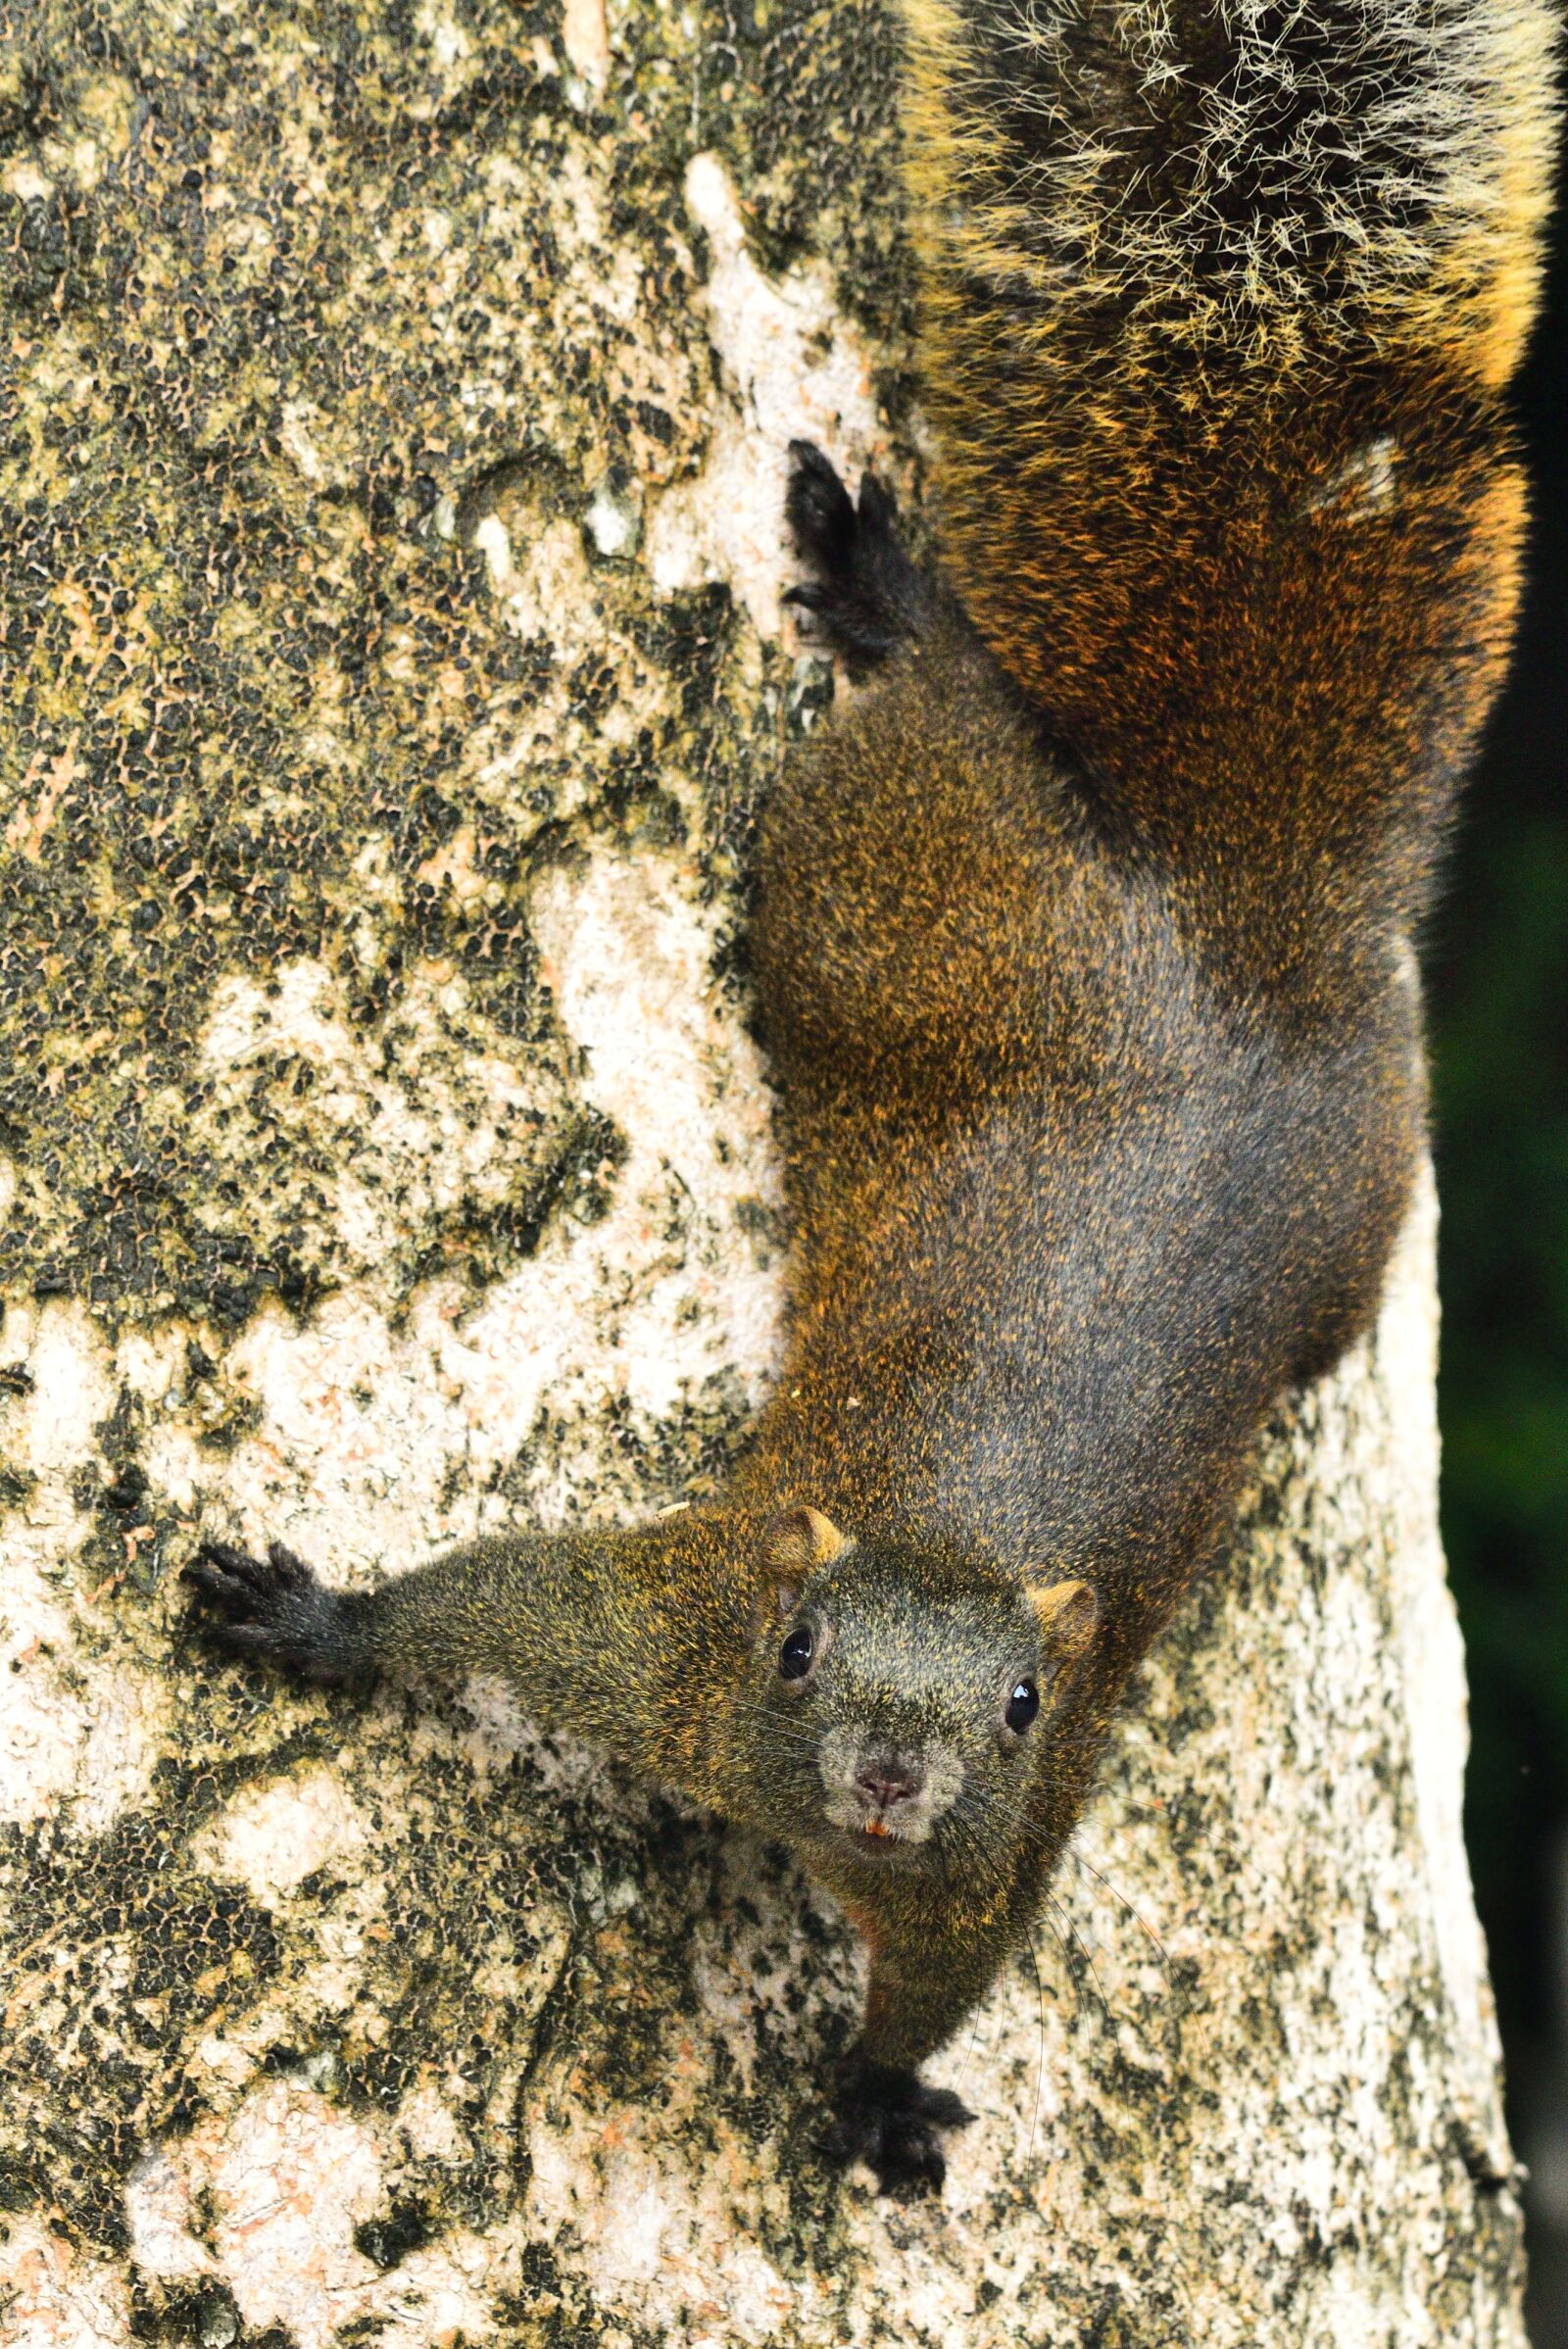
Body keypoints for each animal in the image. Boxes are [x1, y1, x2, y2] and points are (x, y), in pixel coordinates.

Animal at [183, 0, 1557, 2193]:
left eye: (1014, 1712)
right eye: (805, 1652)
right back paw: (897, 598)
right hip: (869, 882)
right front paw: (316, 1617)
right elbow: (485, 1599)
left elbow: (938, 1984)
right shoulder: (655, 1627)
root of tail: (1232, 900)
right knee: (937, 716)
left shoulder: (996, 1866)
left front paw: (869, 2091)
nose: (895, 1779)